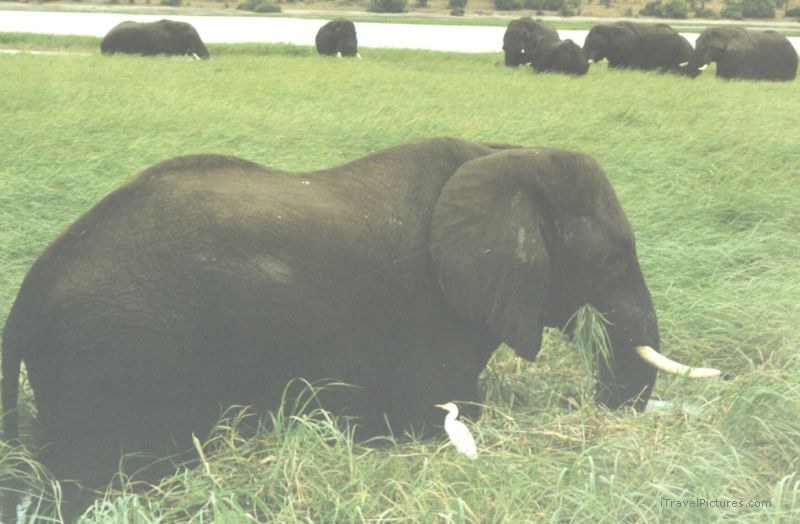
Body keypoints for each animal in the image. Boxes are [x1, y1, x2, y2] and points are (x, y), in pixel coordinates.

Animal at [2, 137, 718, 517]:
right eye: (614, 259)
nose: (599, 412)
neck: (501, 153)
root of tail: (25, 299)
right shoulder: (427, 311)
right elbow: (443, 410)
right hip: (117, 355)